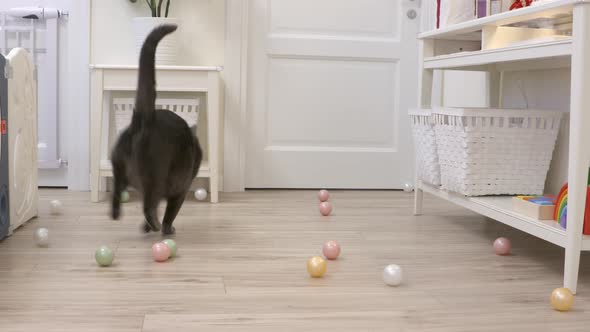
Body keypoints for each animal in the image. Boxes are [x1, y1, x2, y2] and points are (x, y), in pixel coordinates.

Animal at [111, 24, 204, 235]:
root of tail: (145, 119)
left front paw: (145, 227)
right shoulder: (180, 190)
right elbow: (170, 213)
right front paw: (167, 228)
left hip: (118, 167)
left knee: (117, 192)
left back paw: (116, 214)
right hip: (156, 178)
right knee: (148, 205)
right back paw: (154, 224)